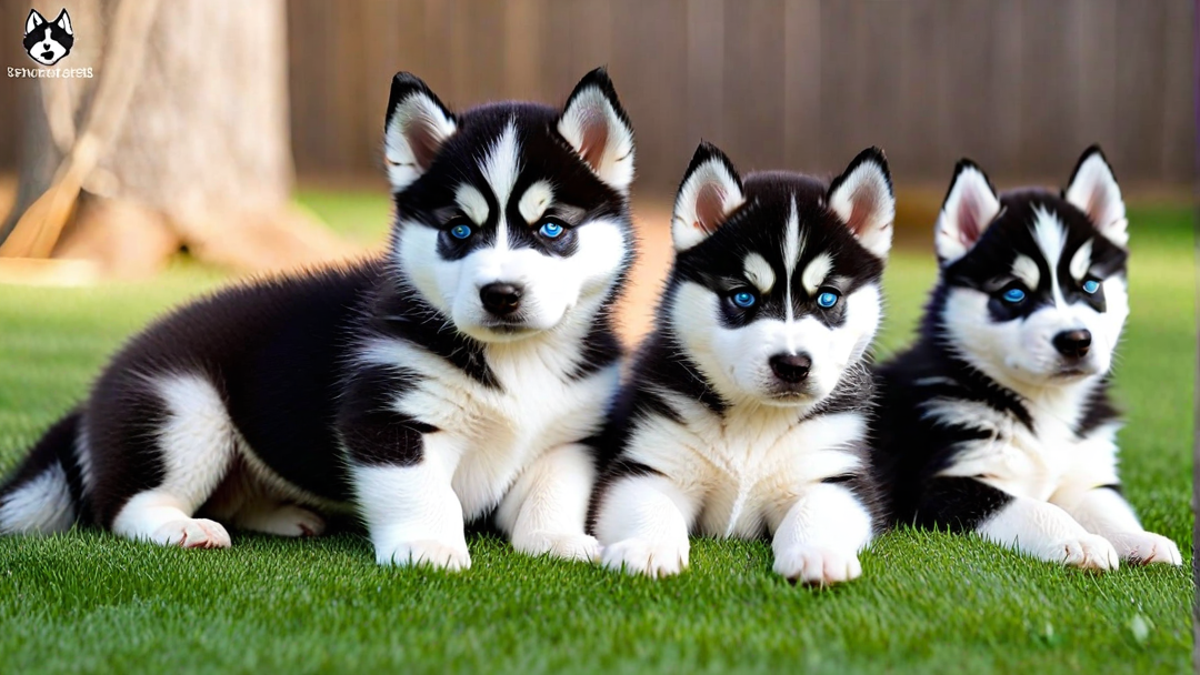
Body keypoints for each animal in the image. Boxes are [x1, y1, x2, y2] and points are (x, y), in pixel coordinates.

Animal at [0, 68, 638, 566]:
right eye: (458, 231)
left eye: (551, 228)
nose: (500, 293)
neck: (515, 360)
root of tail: (95, 391)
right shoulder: (388, 417)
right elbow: (421, 492)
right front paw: (429, 546)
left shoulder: (570, 435)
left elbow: (554, 490)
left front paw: (556, 539)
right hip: (184, 411)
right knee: (122, 506)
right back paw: (180, 527)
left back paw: (286, 515)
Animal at [590, 142, 892, 583]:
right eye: (743, 296)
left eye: (828, 298)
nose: (793, 365)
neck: (755, 423)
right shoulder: (649, 464)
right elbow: (649, 503)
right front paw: (648, 547)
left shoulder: (837, 472)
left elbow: (820, 507)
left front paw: (816, 552)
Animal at [873, 145, 1180, 566]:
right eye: (1014, 293)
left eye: (1090, 286)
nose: (1076, 340)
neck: (1046, 406)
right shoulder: (941, 483)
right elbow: (1035, 507)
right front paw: (1078, 540)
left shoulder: (1084, 469)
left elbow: (1105, 504)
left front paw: (1139, 538)